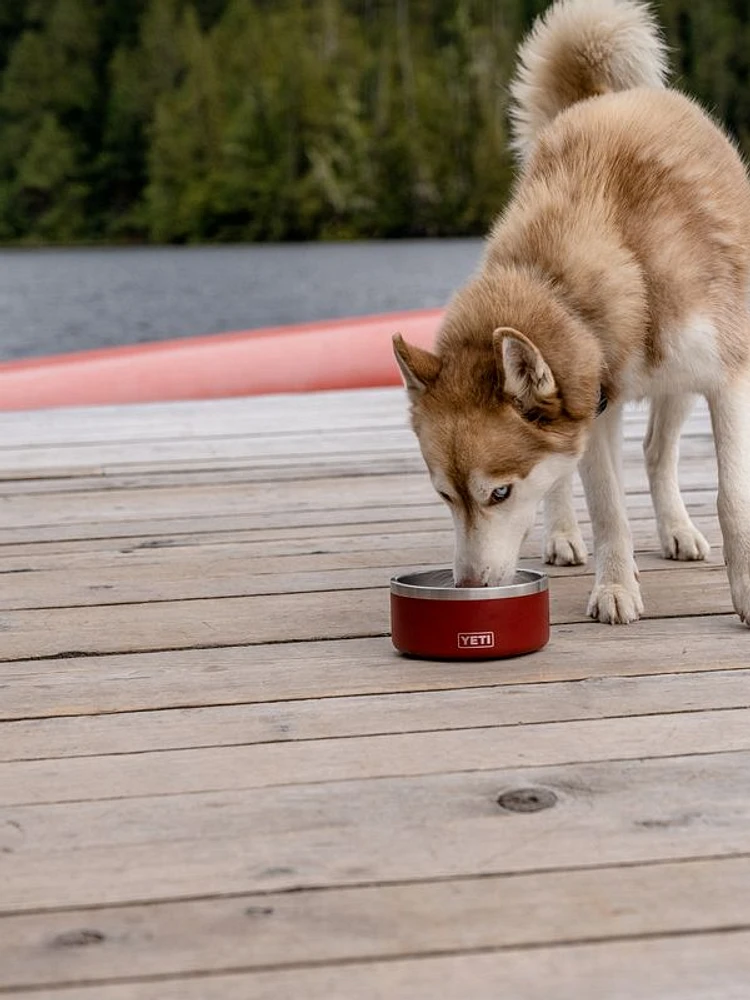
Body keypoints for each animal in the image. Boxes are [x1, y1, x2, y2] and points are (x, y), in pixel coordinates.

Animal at [394, 0, 750, 624]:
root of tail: (601, 97)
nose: (467, 586)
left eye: (500, 493)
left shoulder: (727, 380)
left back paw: (676, 529)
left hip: (681, 383)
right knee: (578, 477)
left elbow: (733, 497)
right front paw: (614, 587)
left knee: (657, 453)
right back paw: (563, 535)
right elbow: (607, 509)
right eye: (443, 494)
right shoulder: (594, 408)